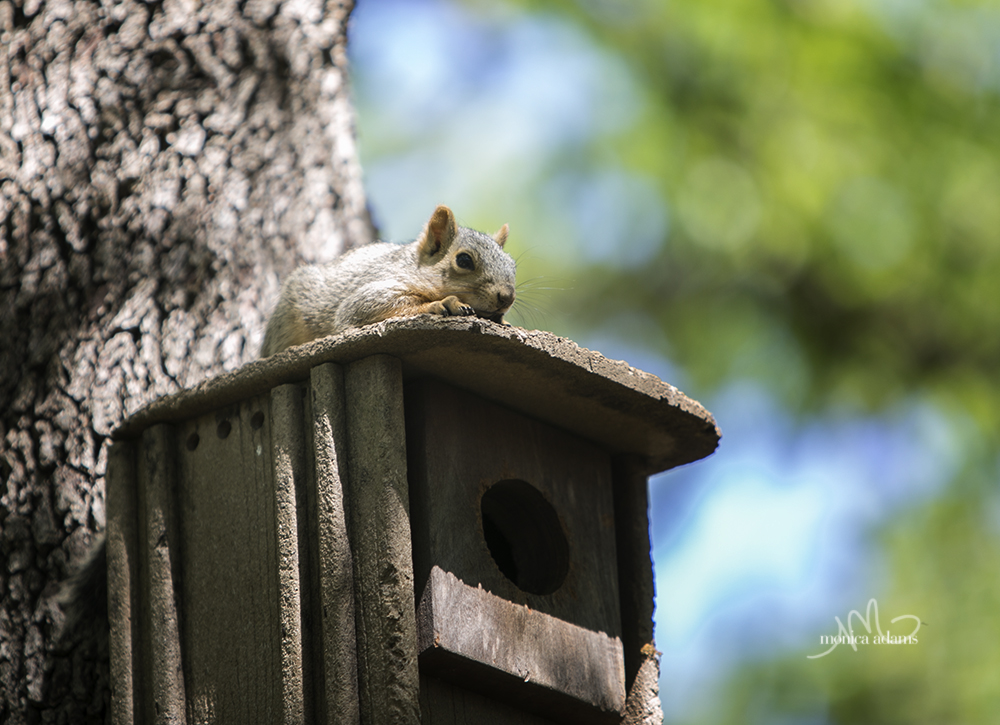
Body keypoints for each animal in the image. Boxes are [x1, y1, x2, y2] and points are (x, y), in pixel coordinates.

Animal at [258, 204, 516, 356]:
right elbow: (359, 309)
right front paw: (442, 304)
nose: (507, 297)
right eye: (463, 260)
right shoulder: (375, 289)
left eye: (512, 264)